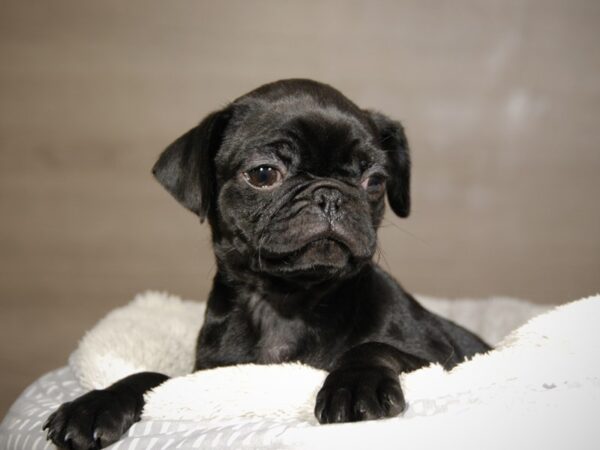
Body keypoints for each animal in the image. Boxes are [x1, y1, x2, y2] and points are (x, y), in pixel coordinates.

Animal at [44, 79, 490, 448]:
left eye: (375, 181)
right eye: (263, 174)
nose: (330, 194)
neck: (285, 301)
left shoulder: (442, 358)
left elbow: (374, 347)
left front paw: (355, 388)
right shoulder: (206, 376)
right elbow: (151, 379)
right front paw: (93, 404)